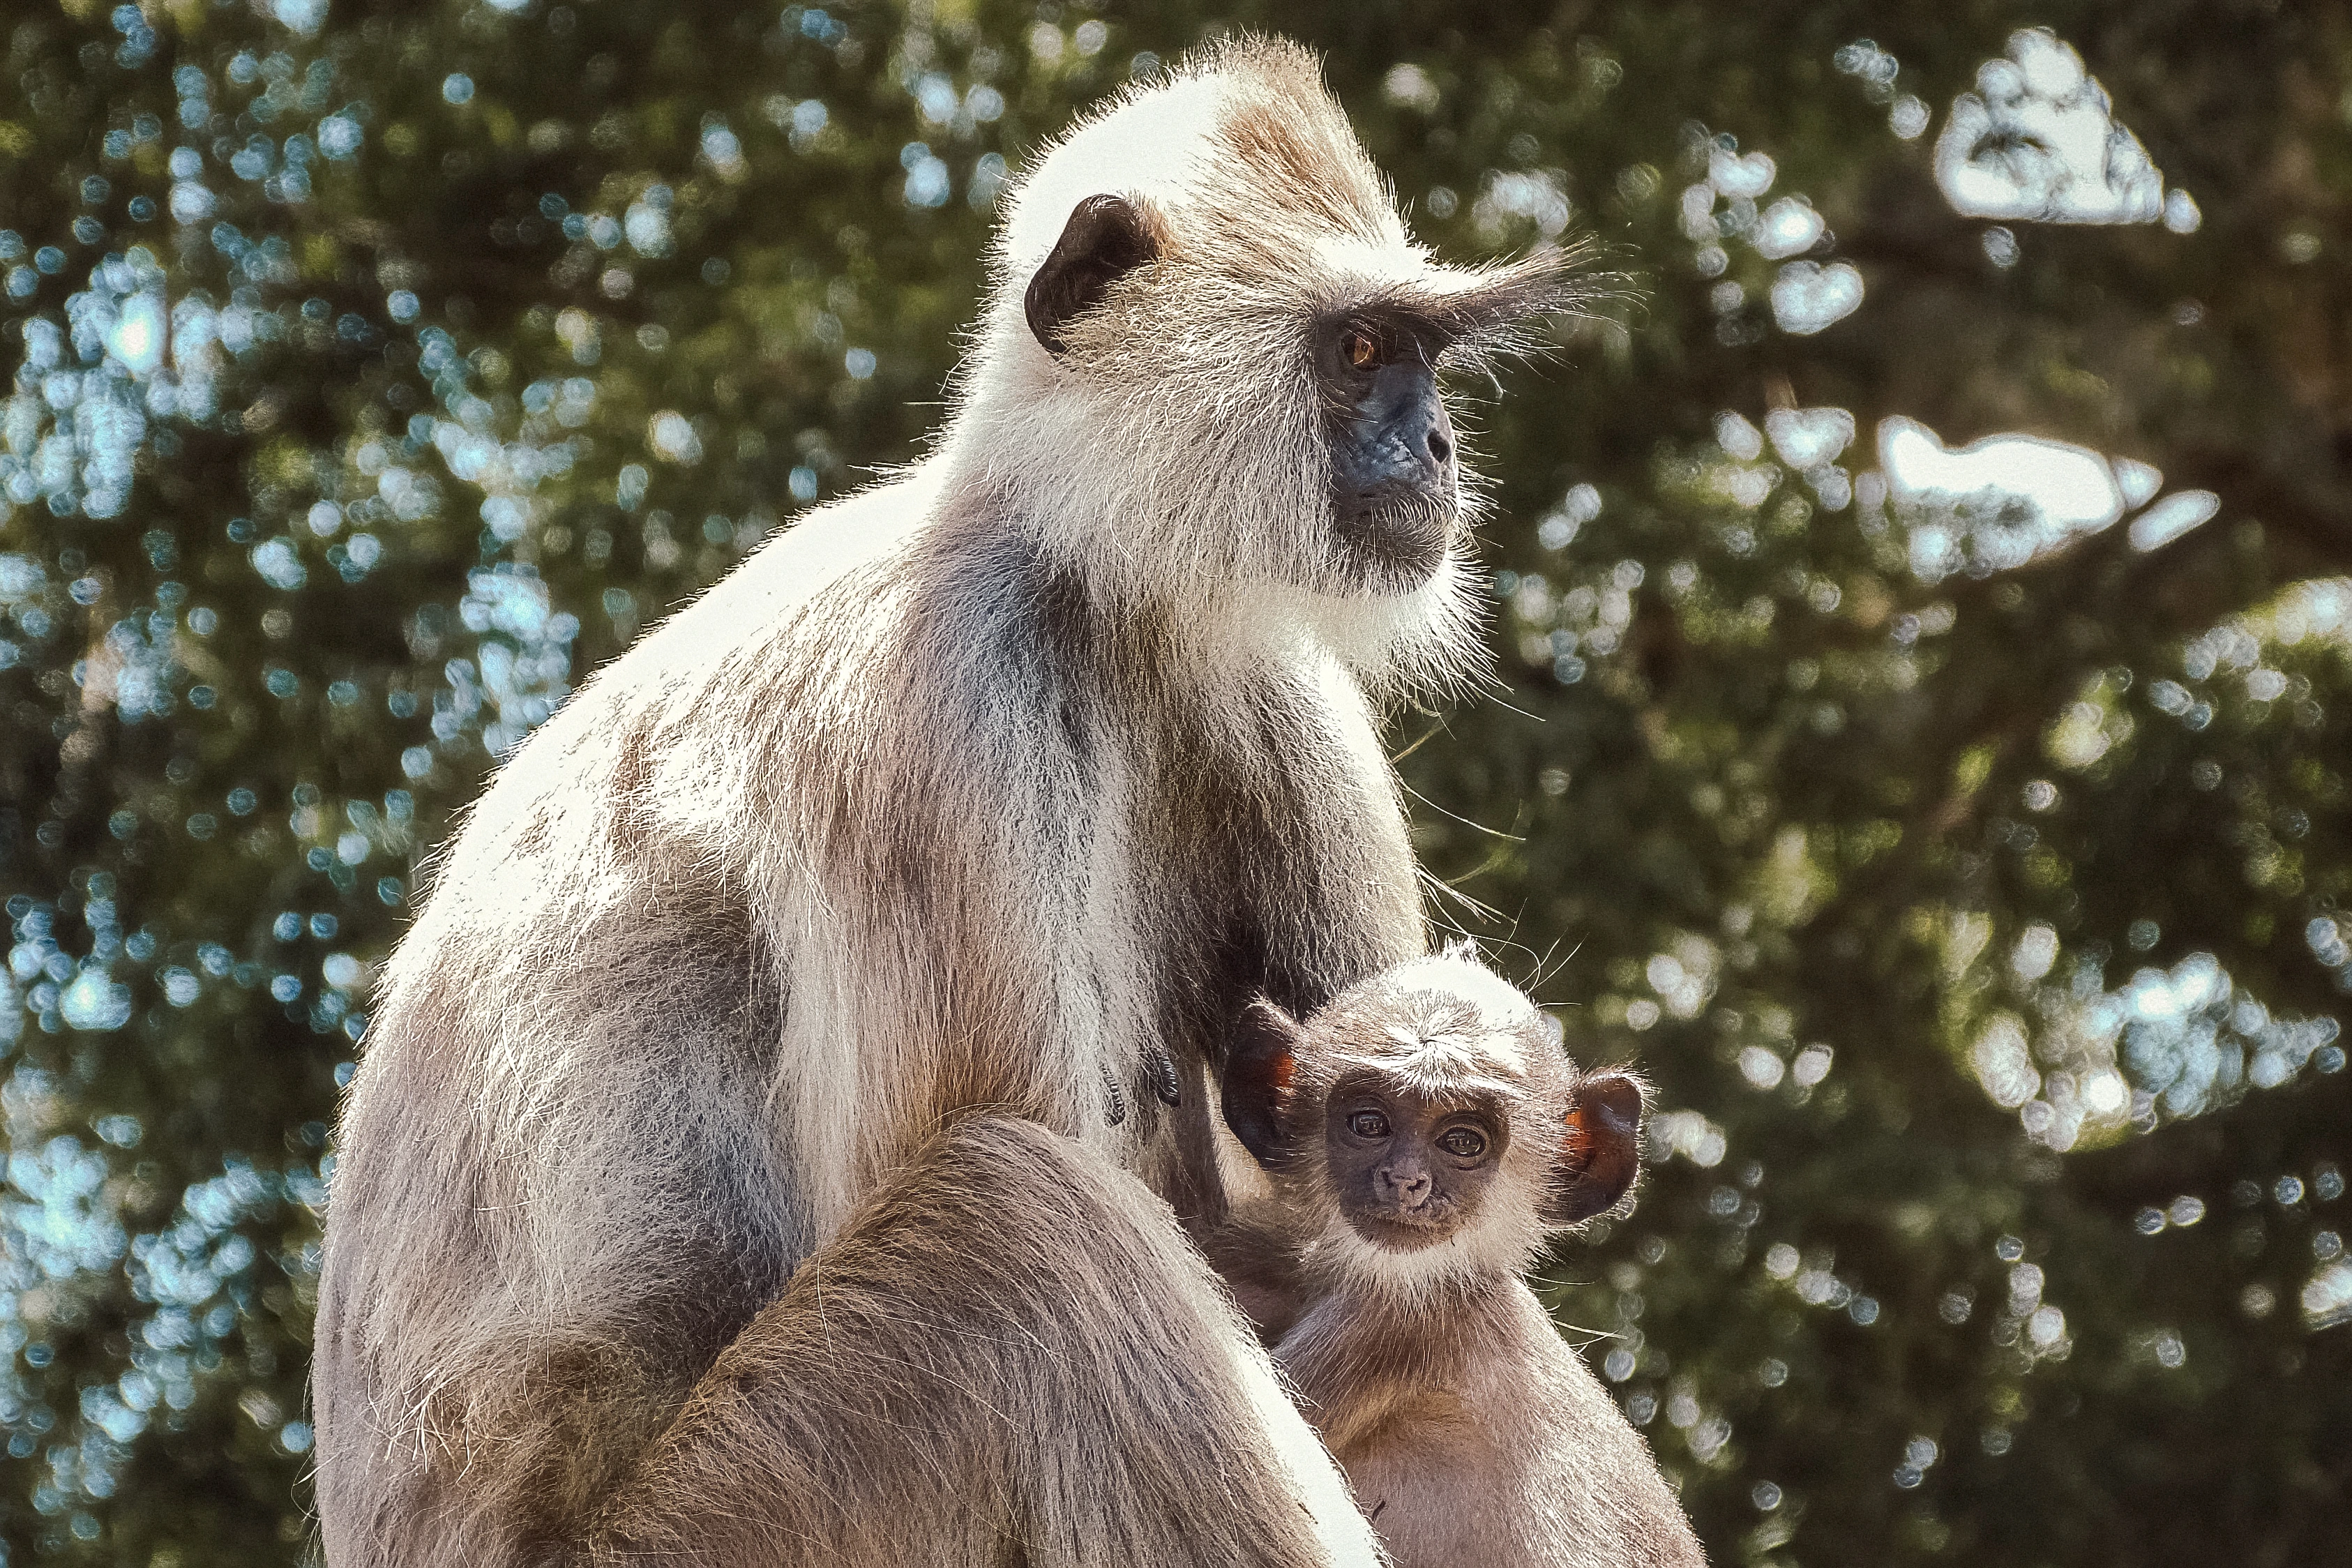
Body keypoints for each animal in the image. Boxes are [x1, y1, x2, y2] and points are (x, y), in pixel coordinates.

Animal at [312, 38, 1579, 1566]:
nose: (1437, 447)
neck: (1083, 580)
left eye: (1424, 357)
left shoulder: (1262, 677)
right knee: (1013, 1212)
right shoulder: (941, 689)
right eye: (1359, 352)